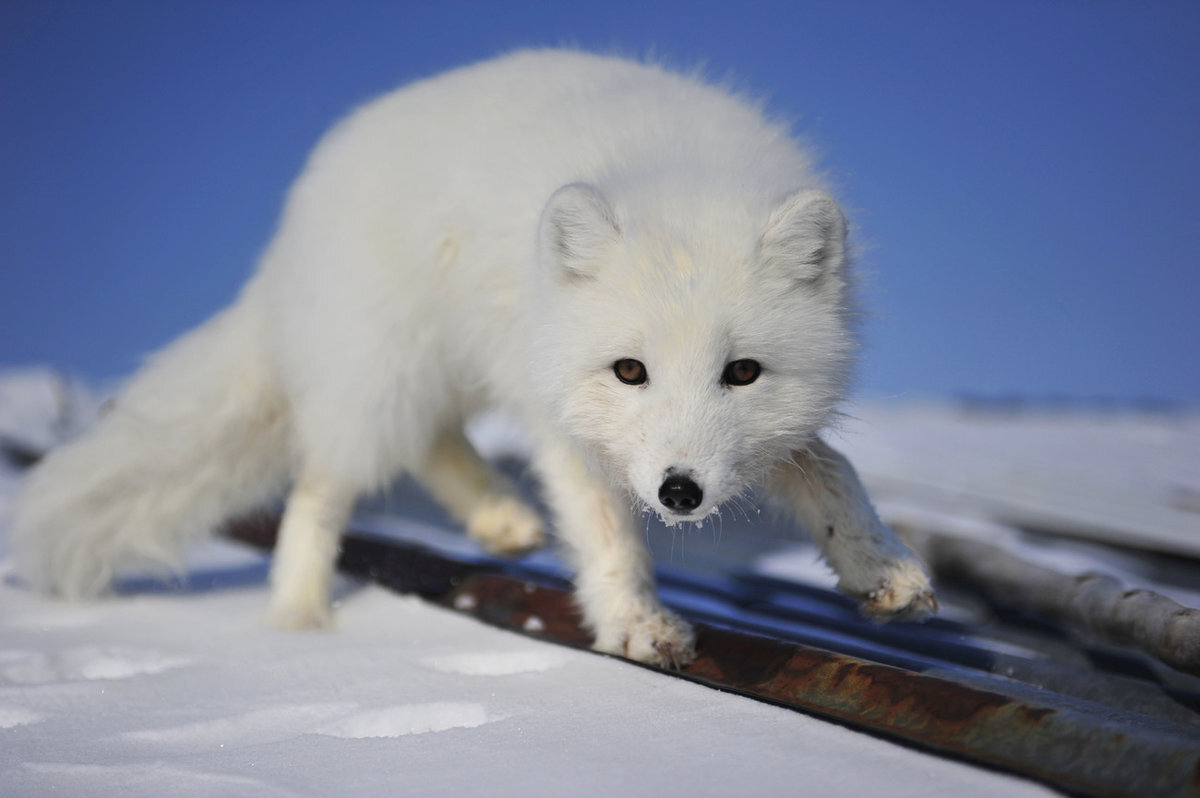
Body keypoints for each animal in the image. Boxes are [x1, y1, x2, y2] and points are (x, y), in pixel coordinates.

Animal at [18, 51, 936, 667]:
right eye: (629, 371)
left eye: (741, 373)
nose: (680, 493)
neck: (677, 173)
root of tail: (295, 220)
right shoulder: (563, 420)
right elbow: (607, 533)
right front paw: (634, 623)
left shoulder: (767, 430)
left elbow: (831, 472)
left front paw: (883, 569)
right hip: (383, 374)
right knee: (319, 490)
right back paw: (304, 625)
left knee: (429, 441)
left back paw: (498, 517)